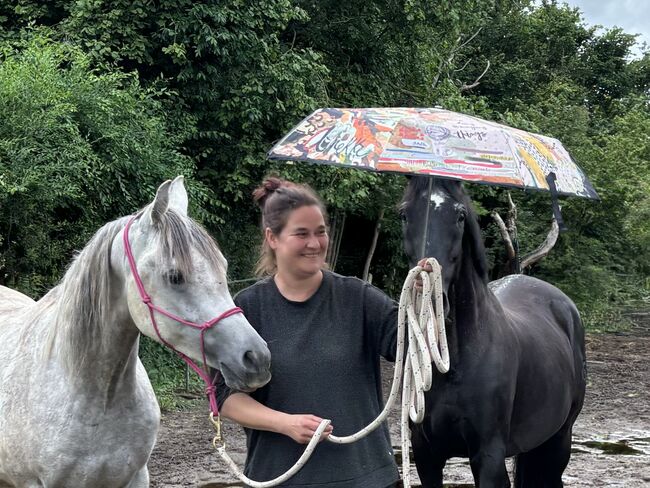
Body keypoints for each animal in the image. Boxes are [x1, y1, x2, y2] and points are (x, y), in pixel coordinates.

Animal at [400, 176, 588, 488]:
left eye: (460, 215)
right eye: (404, 213)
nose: (436, 297)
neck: (456, 363)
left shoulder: (487, 455)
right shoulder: (426, 455)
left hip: (559, 440)